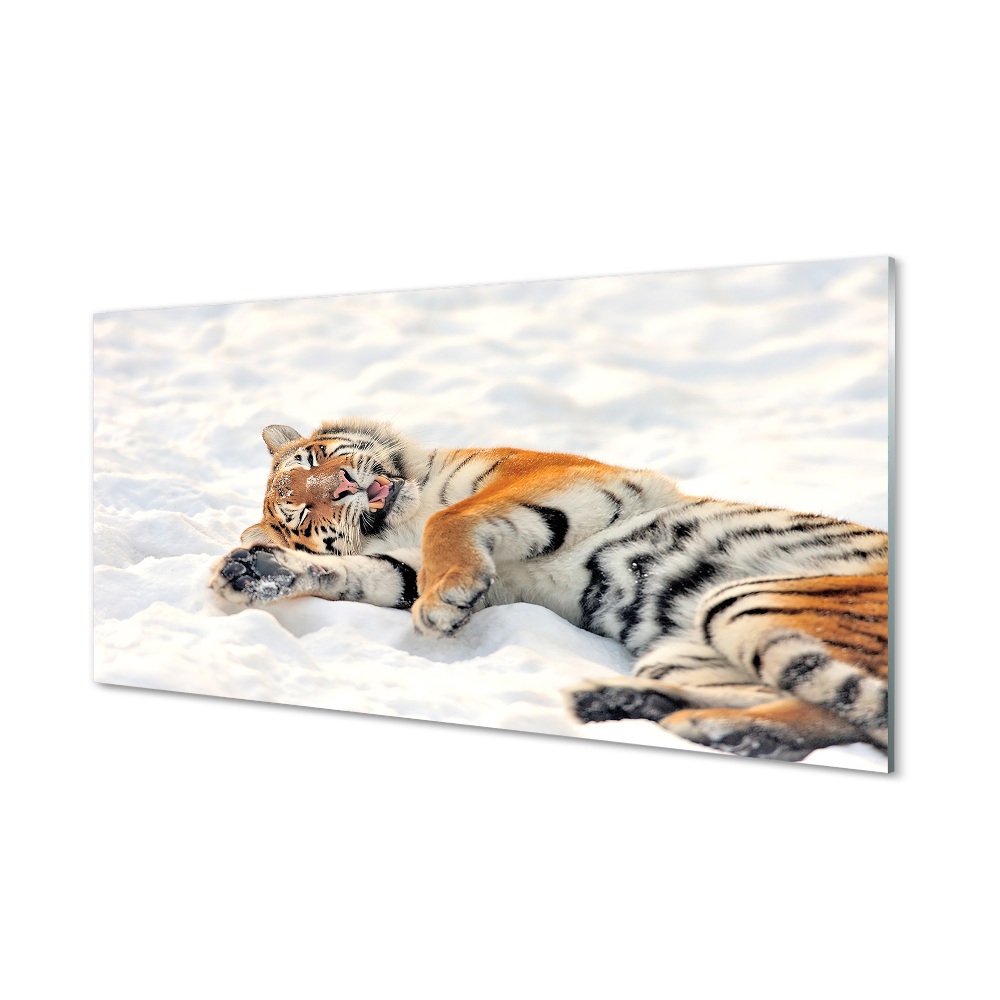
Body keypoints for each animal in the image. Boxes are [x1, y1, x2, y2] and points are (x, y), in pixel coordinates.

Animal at [210, 416, 890, 763]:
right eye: (304, 511)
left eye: (315, 460)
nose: (344, 486)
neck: (404, 507)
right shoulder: (422, 567)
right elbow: (369, 571)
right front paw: (253, 571)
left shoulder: (547, 477)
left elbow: (448, 519)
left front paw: (442, 600)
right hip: (689, 651)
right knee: (833, 716)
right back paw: (652, 713)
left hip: (751, 604)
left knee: (850, 715)